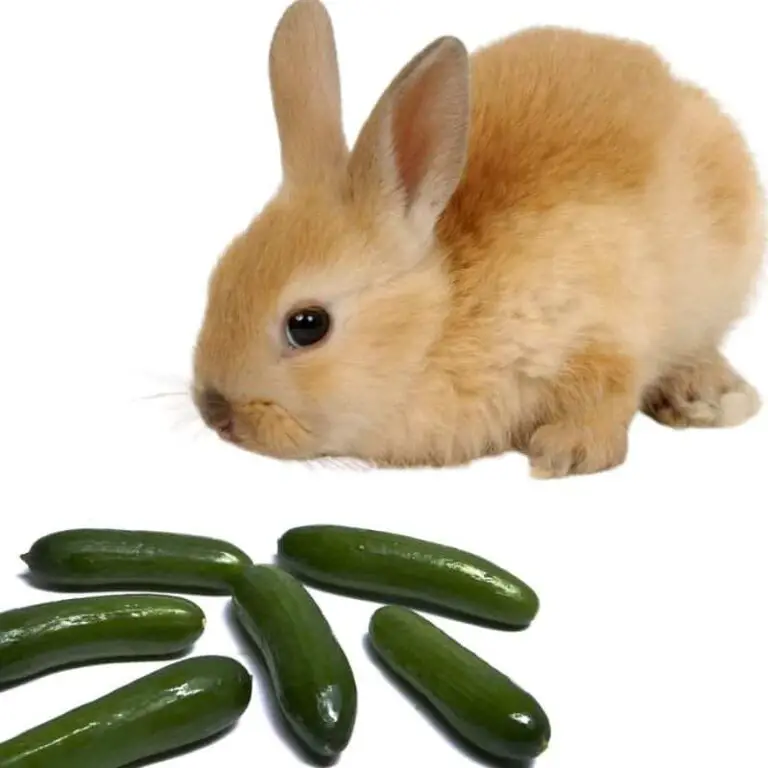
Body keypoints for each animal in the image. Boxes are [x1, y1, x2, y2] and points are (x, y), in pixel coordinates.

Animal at [191, 0, 765, 478]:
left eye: (307, 325)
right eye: (218, 279)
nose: (214, 411)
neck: (441, 320)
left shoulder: (601, 331)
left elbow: (607, 392)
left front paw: (564, 454)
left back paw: (710, 398)